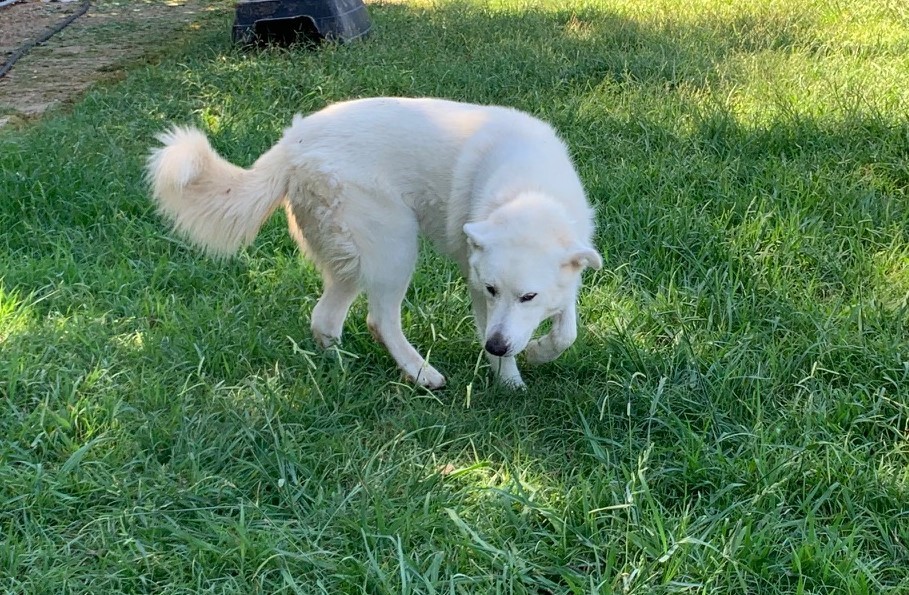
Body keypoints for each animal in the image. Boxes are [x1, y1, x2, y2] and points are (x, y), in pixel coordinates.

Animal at [147, 96, 604, 388]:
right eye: (493, 289)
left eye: (528, 296)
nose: (494, 342)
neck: (529, 190)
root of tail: (291, 145)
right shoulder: (477, 287)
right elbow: (510, 340)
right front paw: (510, 380)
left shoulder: (568, 275)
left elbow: (566, 330)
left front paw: (538, 351)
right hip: (395, 246)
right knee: (380, 319)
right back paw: (421, 374)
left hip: (352, 259)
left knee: (324, 319)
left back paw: (341, 367)